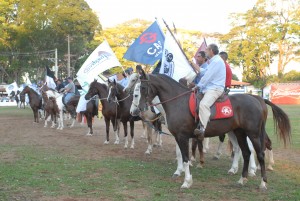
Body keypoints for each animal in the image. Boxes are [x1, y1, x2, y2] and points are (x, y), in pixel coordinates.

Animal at [134, 70, 290, 190]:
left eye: (142, 88)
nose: (138, 109)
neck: (178, 102)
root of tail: (258, 99)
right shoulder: (178, 137)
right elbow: (181, 156)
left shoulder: (183, 136)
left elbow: (185, 158)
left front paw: (186, 182)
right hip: (239, 133)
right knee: (246, 153)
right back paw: (242, 179)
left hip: (254, 134)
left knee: (260, 154)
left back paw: (263, 183)